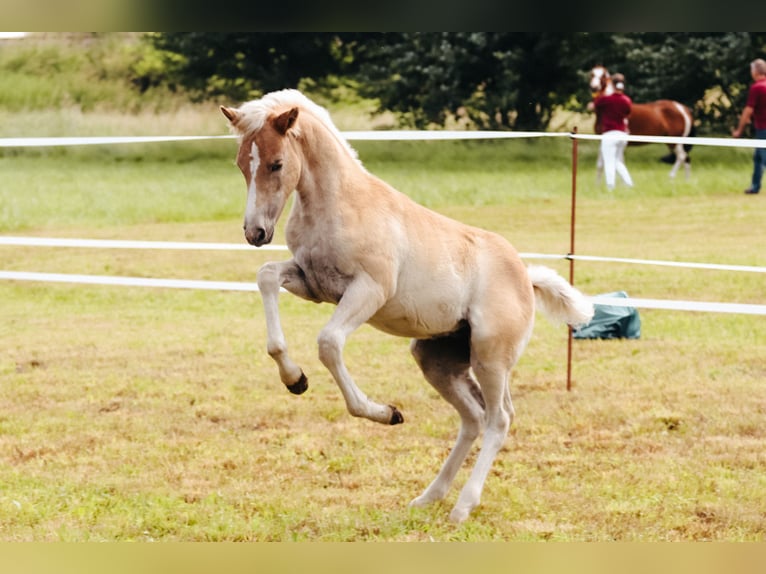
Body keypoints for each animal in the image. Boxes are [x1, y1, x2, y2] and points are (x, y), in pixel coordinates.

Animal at [220, 88, 592, 524]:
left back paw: (462, 507)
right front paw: (295, 379)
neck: (340, 204)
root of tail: (525, 276)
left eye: (277, 163)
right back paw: (430, 496)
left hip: (490, 357)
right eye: (241, 163)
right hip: (437, 358)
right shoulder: (313, 283)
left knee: (499, 419)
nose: (255, 232)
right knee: (473, 417)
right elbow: (266, 277)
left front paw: (384, 412)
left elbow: (329, 343)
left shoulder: (369, 290)